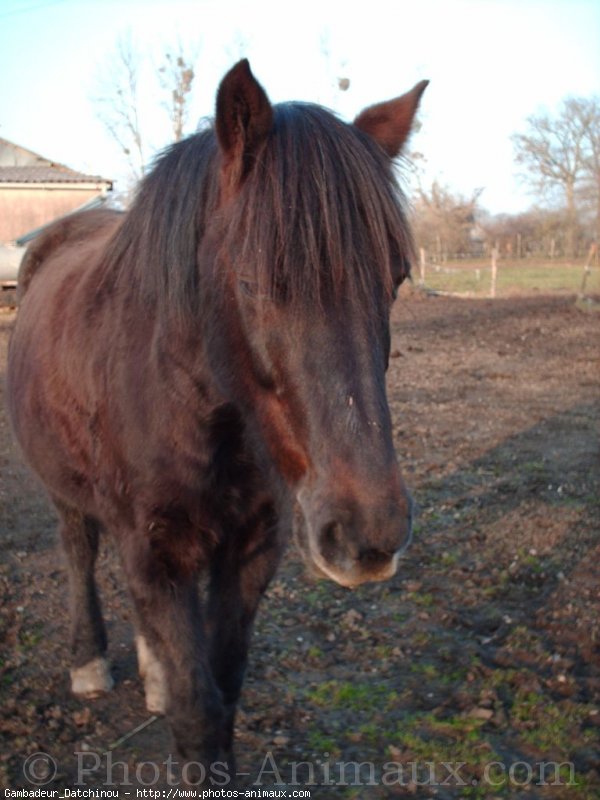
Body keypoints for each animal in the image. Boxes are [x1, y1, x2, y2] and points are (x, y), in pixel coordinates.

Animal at [5, 61, 426, 780]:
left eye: (394, 279)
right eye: (253, 282)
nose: (370, 534)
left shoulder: (250, 547)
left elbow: (220, 691)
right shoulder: (155, 548)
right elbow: (199, 713)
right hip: (67, 491)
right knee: (79, 552)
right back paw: (89, 661)